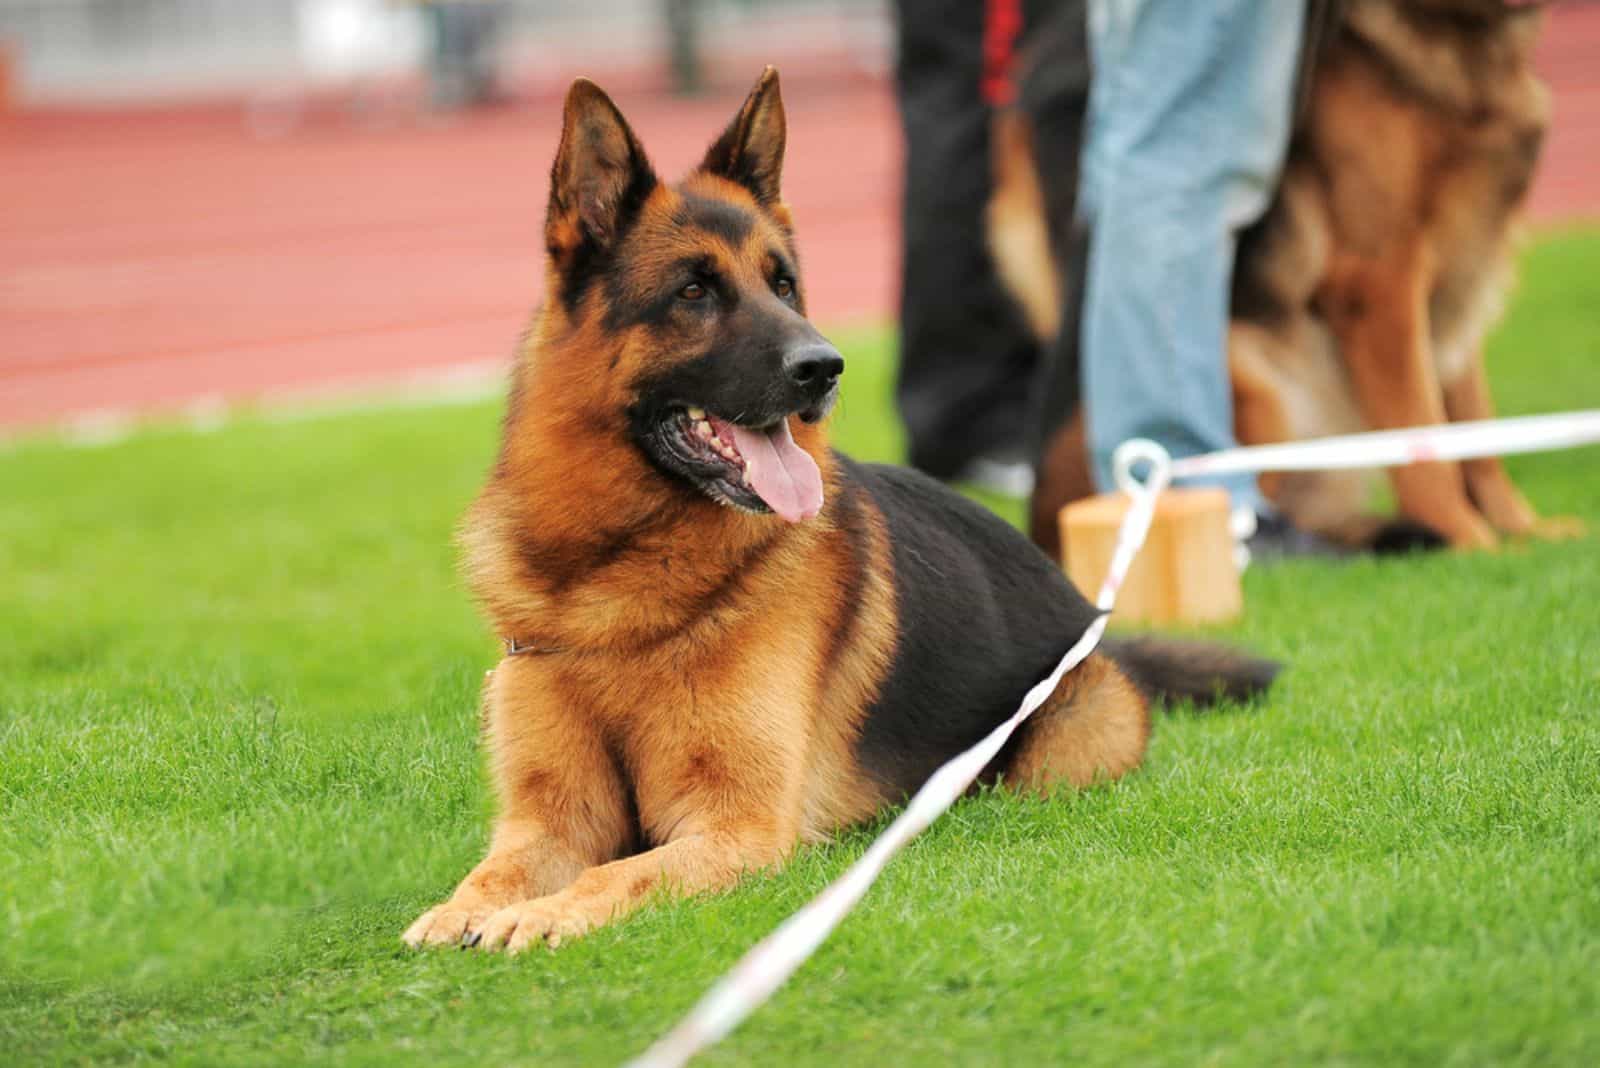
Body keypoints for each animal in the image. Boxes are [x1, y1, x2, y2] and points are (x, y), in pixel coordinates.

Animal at [406, 68, 1280, 952]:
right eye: (693, 290)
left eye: (784, 283)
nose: (824, 367)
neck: (613, 584)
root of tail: (1098, 625)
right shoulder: (550, 820)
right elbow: (500, 869)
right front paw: (463, 909)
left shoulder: (735, 828)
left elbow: (613, 873)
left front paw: (543, 915)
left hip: (1059, 746)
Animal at [992, 2, 1580, 559]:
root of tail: (1043, 520)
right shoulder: (1378, 281)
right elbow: (1425, 442)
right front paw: (1471, 542)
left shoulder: (1456, 281)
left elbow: (1475, 433)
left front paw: (1521, 531)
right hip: (1260, 385)